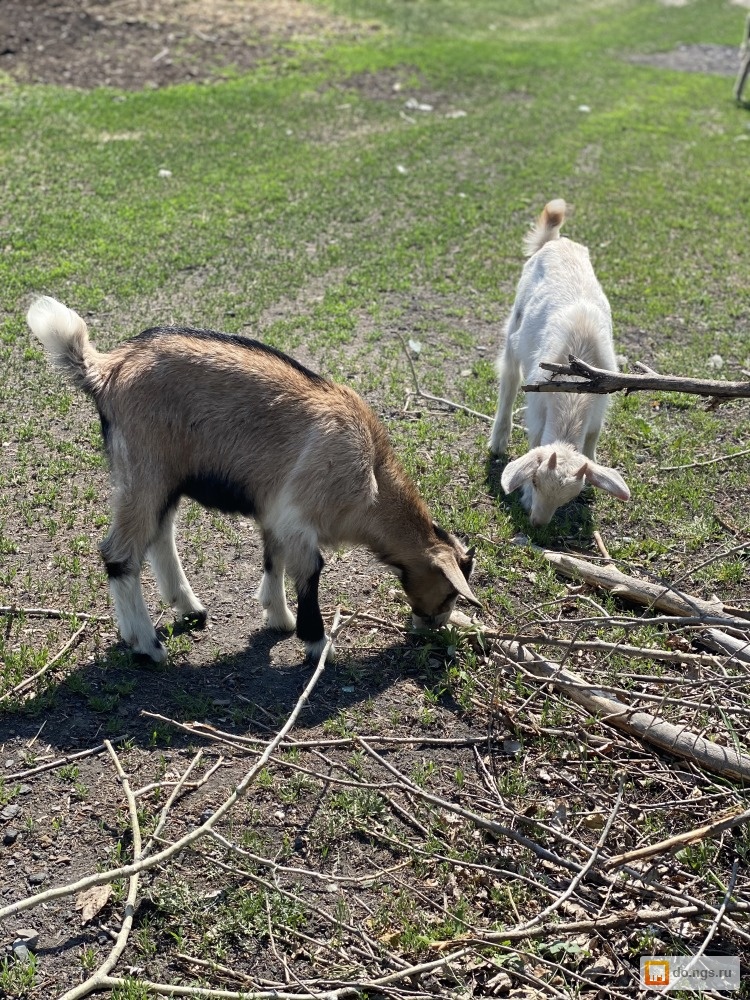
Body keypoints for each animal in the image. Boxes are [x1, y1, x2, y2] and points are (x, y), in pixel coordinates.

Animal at [27, 296, 482, 664]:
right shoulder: (300, 517)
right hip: (145, 470)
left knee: (159, 537)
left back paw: (188, 608)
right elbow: (310, 572)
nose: (435, 625)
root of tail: (106, 368)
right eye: (451, 591)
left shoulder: (277, 513)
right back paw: (147, 645)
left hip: (162, 476)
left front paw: (278, 617)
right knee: (120, 554)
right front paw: (318, 643)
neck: (371, 470)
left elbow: (272, 558)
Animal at [490, 195, 632, 524]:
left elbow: (592, 437)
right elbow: (535, 439)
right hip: (515, 325)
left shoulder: (602, 402)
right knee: (509, 378)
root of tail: (555, 241)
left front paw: (592, 466)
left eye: (569, 497)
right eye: (534, 480)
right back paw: (498, 441)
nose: (538, 523)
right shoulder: (538, 401)